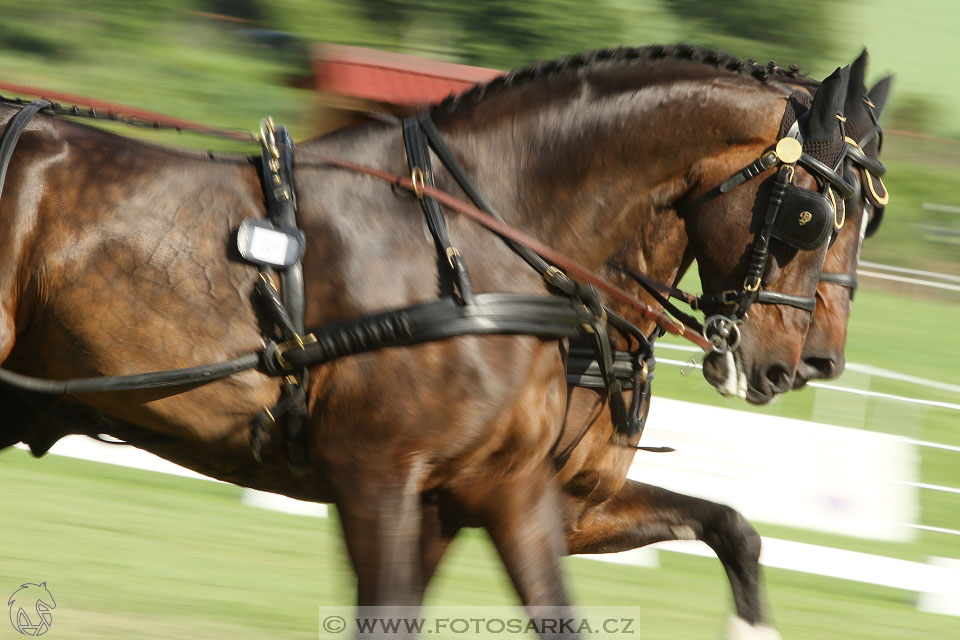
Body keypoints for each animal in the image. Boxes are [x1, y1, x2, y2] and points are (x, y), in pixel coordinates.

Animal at [0, 45, 852, 632]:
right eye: (811, 217)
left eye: (861, 219)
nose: (797, 365)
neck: (481, 245)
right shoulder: (378, 477)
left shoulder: (505, 491)